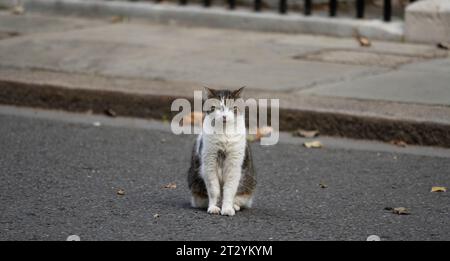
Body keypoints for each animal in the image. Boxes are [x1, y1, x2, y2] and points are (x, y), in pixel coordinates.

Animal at [187, 87, 256, 215]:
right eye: (216, 107)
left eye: (233, 107)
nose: (224, 116)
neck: (224, 133)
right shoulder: (209, 164)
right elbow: (214, 190)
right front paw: (213, 207)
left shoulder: (234, 166)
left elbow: (229, 190)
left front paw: (227, 209)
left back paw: (234, 206)